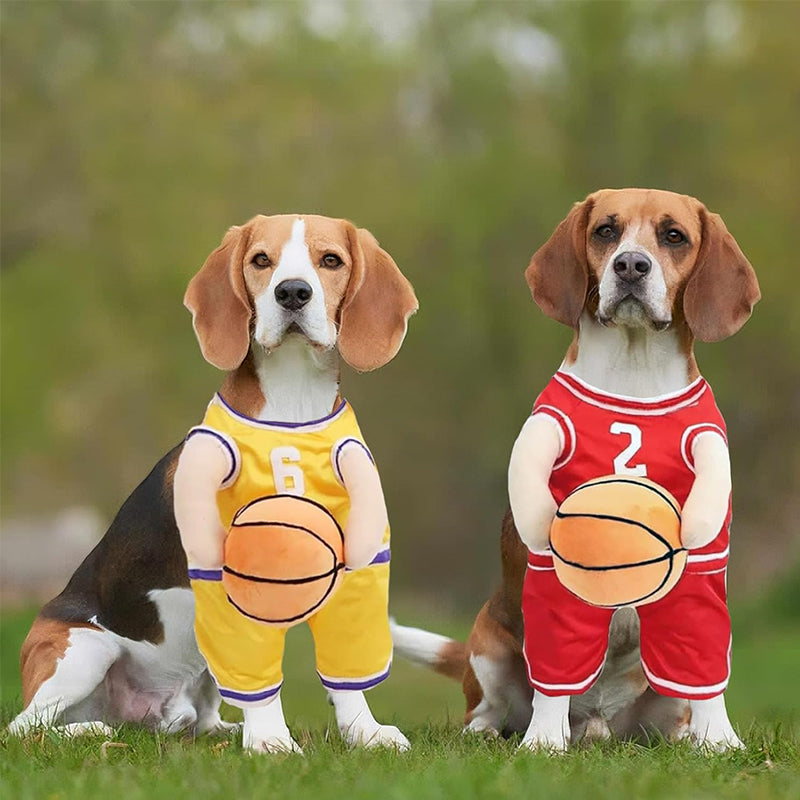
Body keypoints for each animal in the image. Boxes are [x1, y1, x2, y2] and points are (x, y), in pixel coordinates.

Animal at [9, 211, 418, 752]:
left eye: (331, 260)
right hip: (82, 649)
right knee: (25, 729)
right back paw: (90, 729)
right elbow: (262, 682)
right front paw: (271, 742)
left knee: (200, 715)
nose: (292, 292)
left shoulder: (352, 567)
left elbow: (346, 675)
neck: (293, 405)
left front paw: (365, 733)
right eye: (260, 260)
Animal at [396, 188, 760, 752]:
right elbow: (555, 672)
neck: (634, 376)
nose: (630, 264)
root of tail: (598, 724)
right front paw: (543, 744)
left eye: (674, 236)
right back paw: (498, 732)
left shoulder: (702, 567)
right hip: (489, 647)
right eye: (605, 231)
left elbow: (705, 672)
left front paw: (721, 742)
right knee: (488, 710)